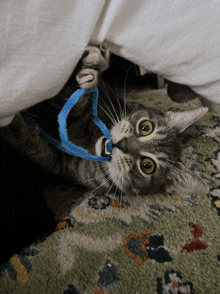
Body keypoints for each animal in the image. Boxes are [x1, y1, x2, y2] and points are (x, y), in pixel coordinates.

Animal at [0, 43, 209, 218]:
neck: (92, 139)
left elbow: (33, 145)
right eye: (145, 127)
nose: (123, 144)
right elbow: (78, 103)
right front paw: (93, 65)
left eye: (147, 165)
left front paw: (11, 122)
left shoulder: (59, 162)